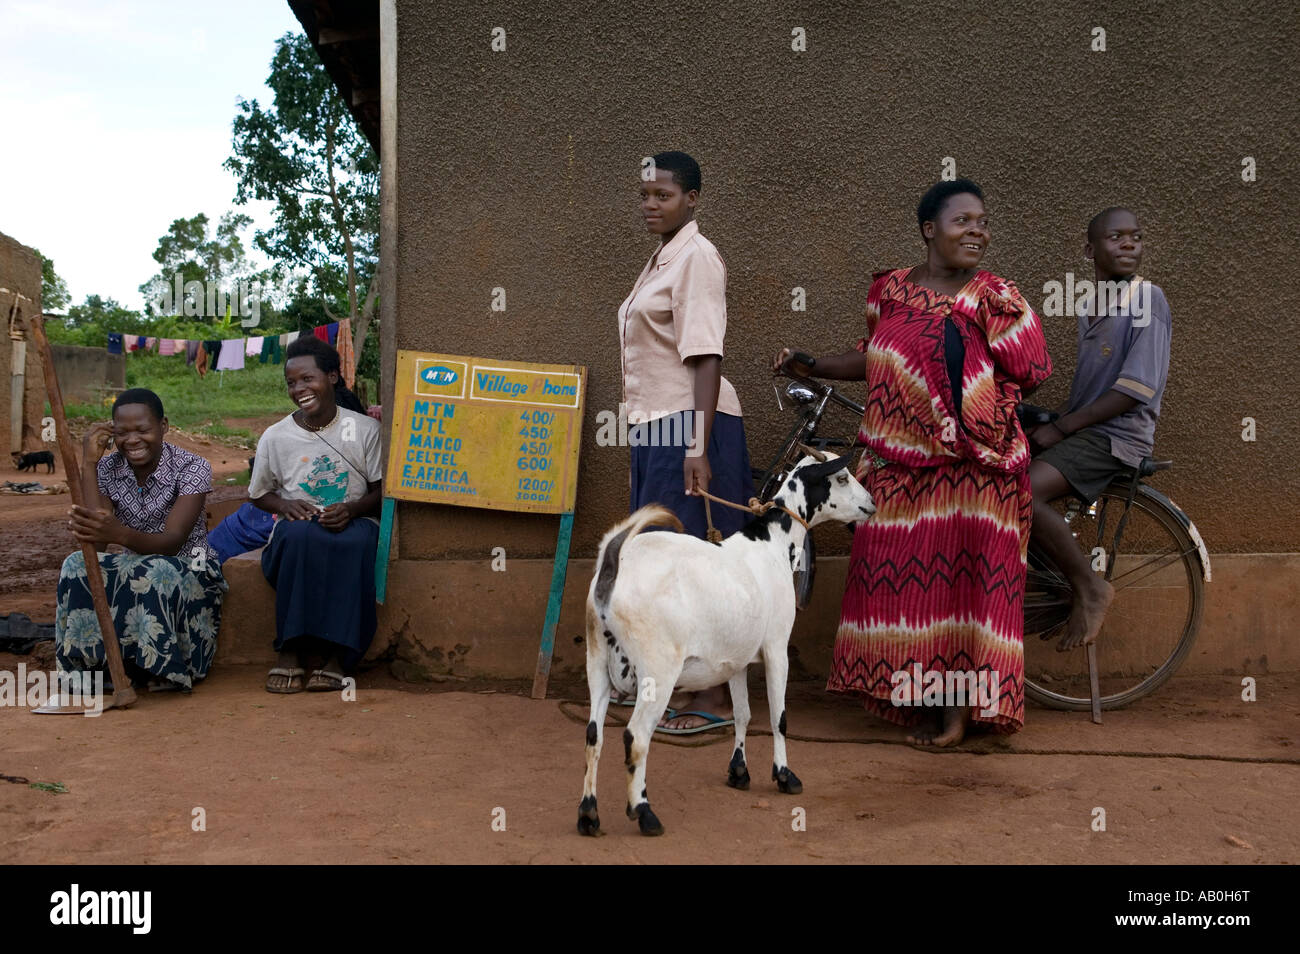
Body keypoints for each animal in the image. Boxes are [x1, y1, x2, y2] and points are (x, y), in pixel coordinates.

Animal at [577, 454, 873, 837]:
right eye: (842, 477)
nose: (871, 504)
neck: (772, 544)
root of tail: (613, 567)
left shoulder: (737, 660)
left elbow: (742, 714)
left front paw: (739, 771)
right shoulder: (777, 647)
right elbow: (779, 717)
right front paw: (784, 776)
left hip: (597, 662)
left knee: (593, 735)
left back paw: (588, 815)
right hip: (657, 671)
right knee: (636, 737)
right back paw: (644, 813)